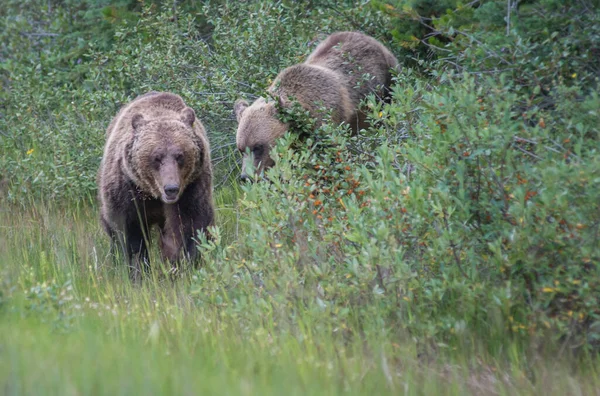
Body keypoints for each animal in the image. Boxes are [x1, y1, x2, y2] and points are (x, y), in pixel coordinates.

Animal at [96, 92, 213, 282]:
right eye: (156, 157)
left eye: (180, 156)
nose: (171, 188)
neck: (153, 193)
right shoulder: (128, 189)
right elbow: (131, 233)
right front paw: (139, 272)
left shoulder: (191, 187)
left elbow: (188, 225)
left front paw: (182, 265)